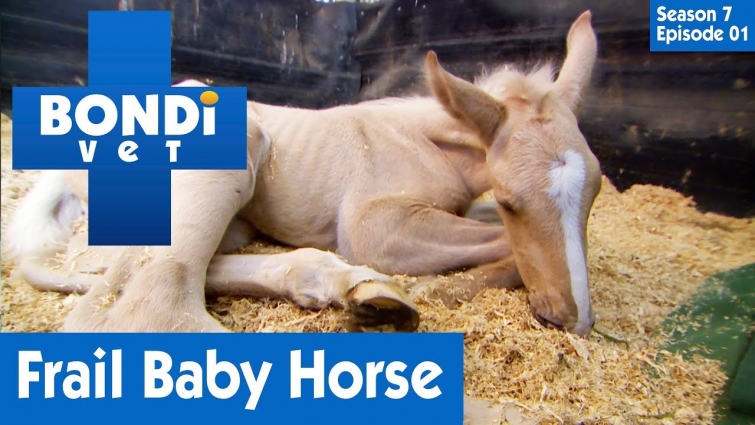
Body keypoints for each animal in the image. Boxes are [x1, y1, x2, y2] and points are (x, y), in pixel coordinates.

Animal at [3, 10, 601, 337]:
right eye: (511, 201)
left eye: (594, 194)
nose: (572, 317)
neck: (421, 141)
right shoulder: (375, 225)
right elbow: (499, 243)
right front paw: (438, 287)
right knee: (130, 298)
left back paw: (353, 289)